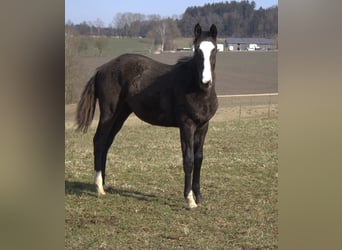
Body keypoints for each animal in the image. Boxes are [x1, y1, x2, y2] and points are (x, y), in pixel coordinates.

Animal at [76, 23, 218, 208]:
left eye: (214, 50)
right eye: (197, 50)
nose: (205, 82)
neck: (194, 88)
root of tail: (101, 69)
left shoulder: (203, 126)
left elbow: (199, 158)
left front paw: (199, 196)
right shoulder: (187, 125)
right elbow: (188, 160)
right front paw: (189, 200)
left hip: (120, 115)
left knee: (106, 143)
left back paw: (104, 184)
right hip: (109, 113)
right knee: (99, 141)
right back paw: (99, 187)